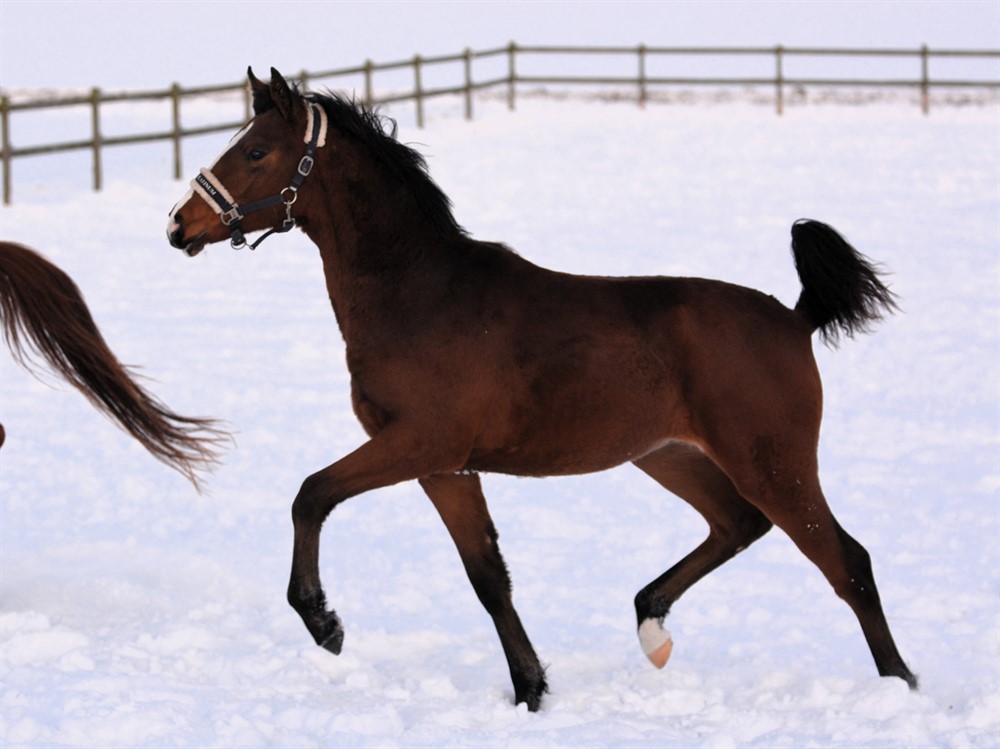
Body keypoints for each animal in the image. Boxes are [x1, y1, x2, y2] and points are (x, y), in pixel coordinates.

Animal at [166, 67, 917, 710]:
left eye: (256, 150)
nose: (179, 225)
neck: (418, 294)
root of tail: (794, 319)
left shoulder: (419, 443)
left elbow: (311, 494)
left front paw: (324, 622)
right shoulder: (446, 467)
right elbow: (488, 577)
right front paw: (531, 688)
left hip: (773, 462)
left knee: (847, 561)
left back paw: (900, 687)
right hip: (668, 454)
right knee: (738, 523)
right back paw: (651, 624)